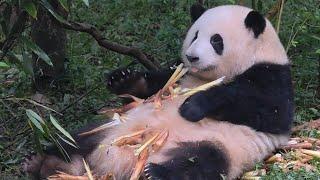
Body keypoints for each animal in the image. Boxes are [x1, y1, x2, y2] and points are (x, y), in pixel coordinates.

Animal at [22, 3, 294, 179]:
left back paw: (154, 173)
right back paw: (46, 163)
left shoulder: (274, 76)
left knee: (200, 161)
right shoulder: (180, 72)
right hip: (112, 127)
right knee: (75, 138)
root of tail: (113, 165)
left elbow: (267, 110)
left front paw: (192, 106)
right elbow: (157, 84)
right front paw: (121, 79)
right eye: (195, 35)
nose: (192, 56)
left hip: (222, 145)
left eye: (216, 40)